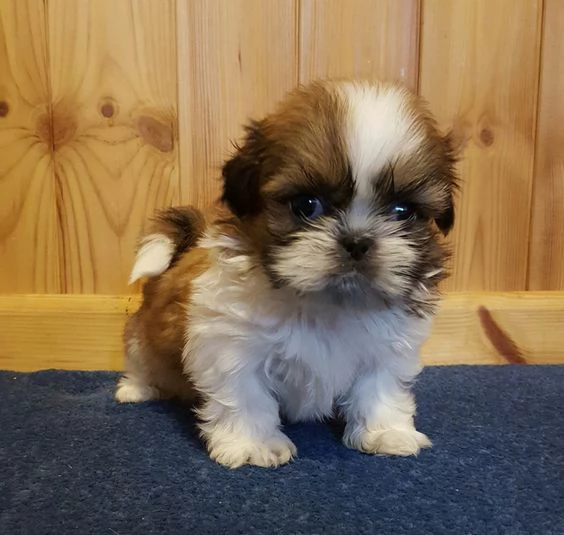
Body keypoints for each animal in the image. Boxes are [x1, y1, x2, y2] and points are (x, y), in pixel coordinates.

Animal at [114, 79, 458, 468]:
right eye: (306, 205)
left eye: (402, 211)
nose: (357, 241)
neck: (327, 305)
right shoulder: (231, 345)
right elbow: (247, 395)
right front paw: (253, 443)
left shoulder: (386, 349)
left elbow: (379, 388)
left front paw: (386, 432)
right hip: (143, 336)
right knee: (142, 358)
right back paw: (136, 388)